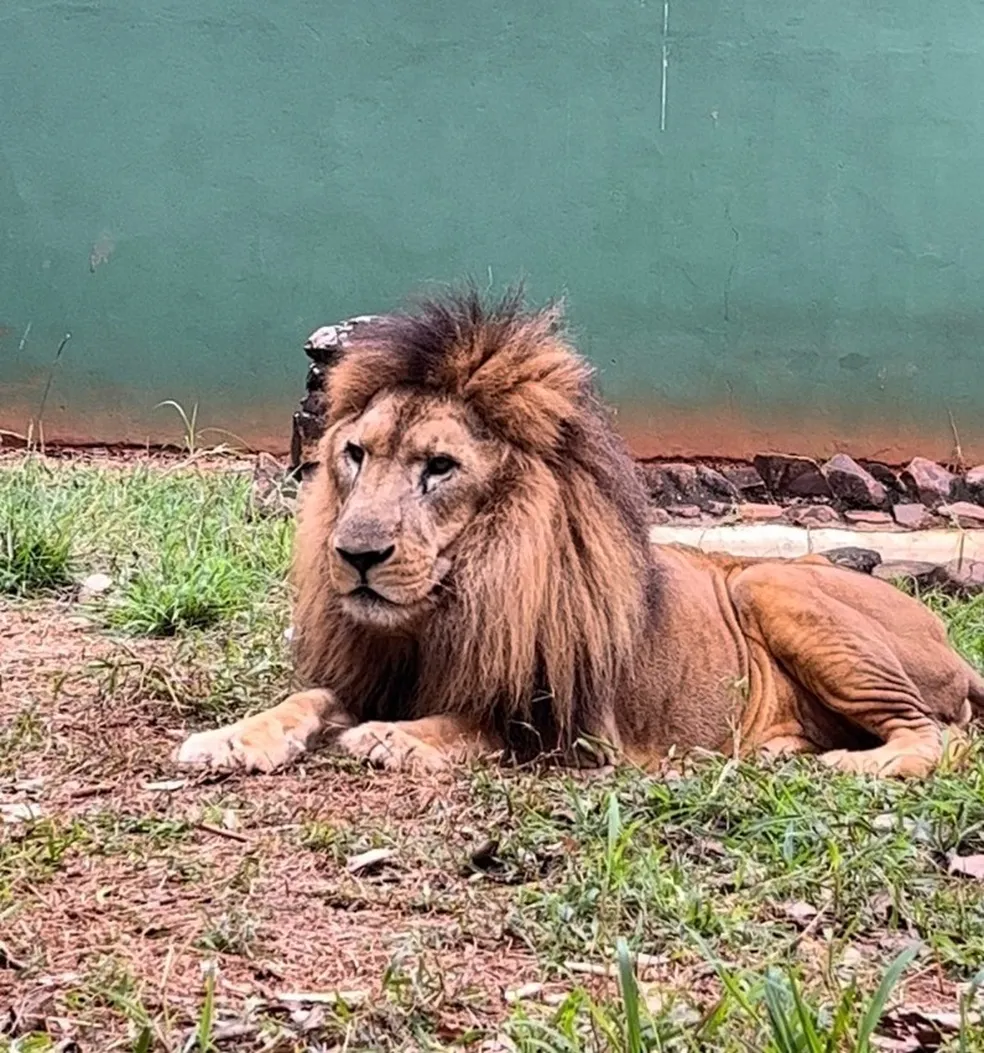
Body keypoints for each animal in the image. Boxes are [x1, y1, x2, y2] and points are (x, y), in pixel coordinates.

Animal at [177, 289, 984, 779]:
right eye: (354, 453)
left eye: (440, 467)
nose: (356, 555)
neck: (444, 609)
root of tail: (950, 643)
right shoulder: (369, 672)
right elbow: (308, 698)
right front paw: (231, 737)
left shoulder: (572, 723)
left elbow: (483, 722)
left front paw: (394, 735)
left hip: (770, 583)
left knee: (941, 732)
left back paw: (859, 765)